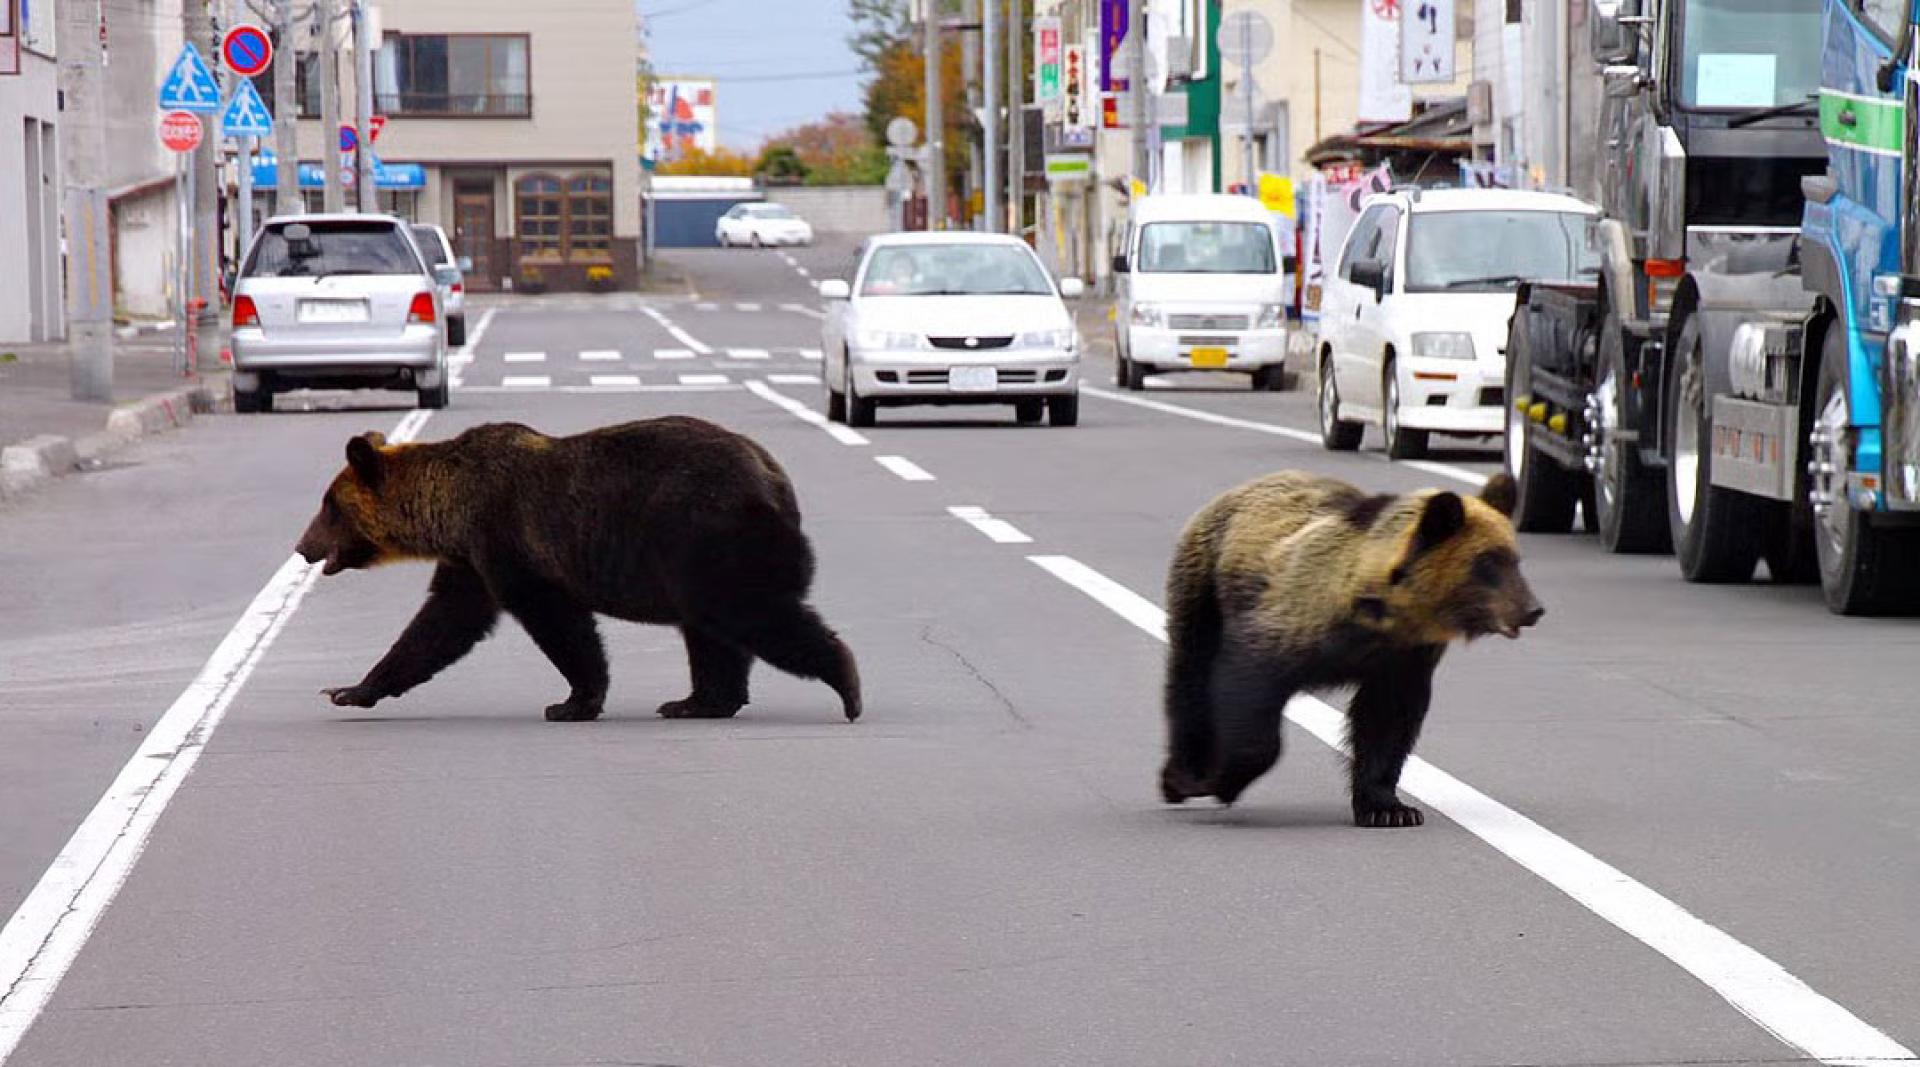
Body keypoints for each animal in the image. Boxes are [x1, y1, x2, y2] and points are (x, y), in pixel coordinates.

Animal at [294, 417, 862, 724]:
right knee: (711, 631)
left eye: (328, 506)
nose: (302, 547)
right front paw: (350, 689)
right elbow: (439, 626)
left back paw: (846, 684)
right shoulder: (470, 560)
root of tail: (774, 477)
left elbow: (558, 622)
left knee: (748, 613)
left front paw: (571, 701)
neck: (449, 510)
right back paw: (696, 701)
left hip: (705, 534)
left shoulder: (507, 540)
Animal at [1157, 470, 1542, 826]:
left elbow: (1386, 723)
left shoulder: (1403, 659)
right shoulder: (1288, 623)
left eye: (1515, 559)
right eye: (1487, 561)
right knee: (1190, 672)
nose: (1532, 609)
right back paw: (1180, 776)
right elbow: (1247, 688)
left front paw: (1389, 809)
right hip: (1204, 584)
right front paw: (1221, 780)